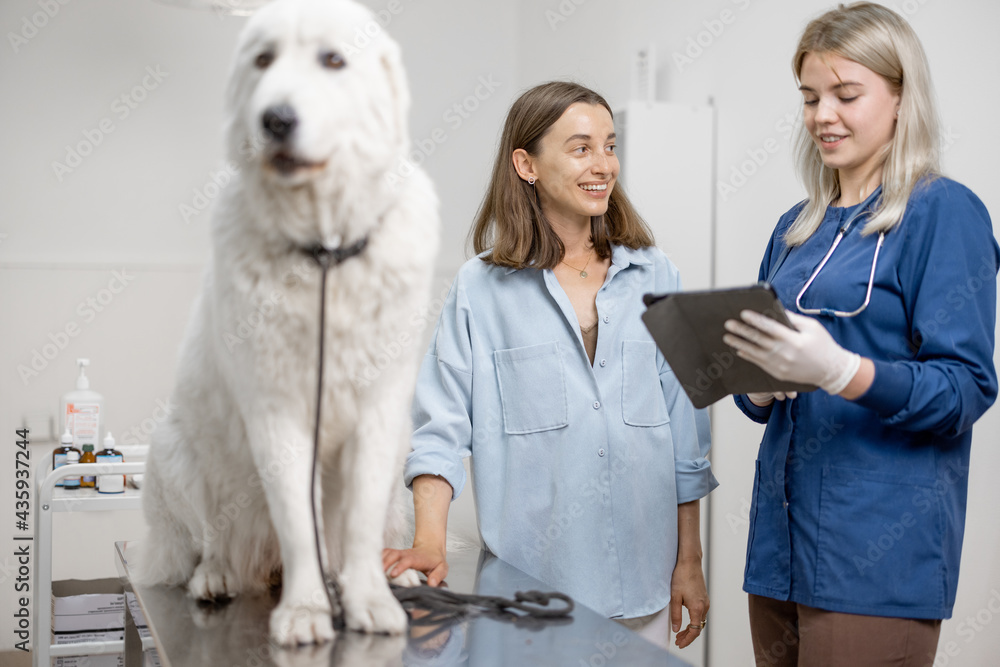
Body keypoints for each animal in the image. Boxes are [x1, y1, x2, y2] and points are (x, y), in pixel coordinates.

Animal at [139, 0, 436, 648]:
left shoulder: (379, 413)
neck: (324, 249)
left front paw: (369, 598)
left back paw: (395, 577)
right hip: (176, 451)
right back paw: (216, 577)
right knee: (210, 539)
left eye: (333, 60)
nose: (275, 119)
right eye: (263, 60)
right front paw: (305, 611)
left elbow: (358, 524)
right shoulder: (277, 413)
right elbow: (300, 524)